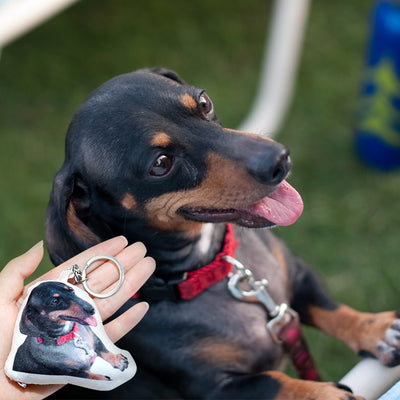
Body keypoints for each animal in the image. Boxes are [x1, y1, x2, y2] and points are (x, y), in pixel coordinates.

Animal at [45, 67, 400, 398]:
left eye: (204, 103)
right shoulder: (215, 387)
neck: (211, 271)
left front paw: (379, 331)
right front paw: (325, 393)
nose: (281, 159)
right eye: (161, 163)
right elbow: (274, 382)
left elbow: (331, 308)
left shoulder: (297, 276)